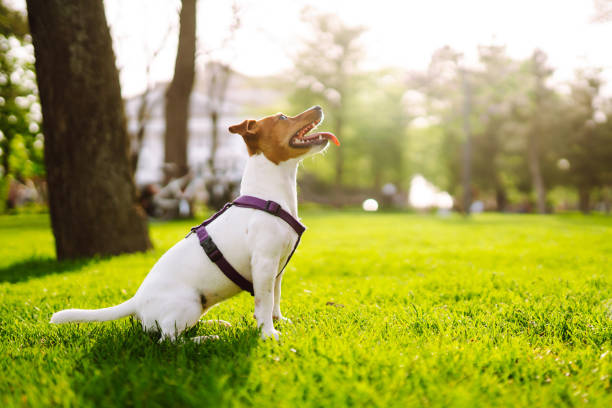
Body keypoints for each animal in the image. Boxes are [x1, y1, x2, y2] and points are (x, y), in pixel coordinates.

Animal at [49, 106, 340, 342]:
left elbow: (275, 299)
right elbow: (264, 302)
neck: (269, 196)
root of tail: (136, 301)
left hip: (197, 305)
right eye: (282, 118)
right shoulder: (264, 264)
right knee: (169, 340)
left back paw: (215, 324)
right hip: (187, 304)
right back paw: (208, 338)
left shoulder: (276, 269)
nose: (318, 106)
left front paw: (279, 322)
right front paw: (268, 334)